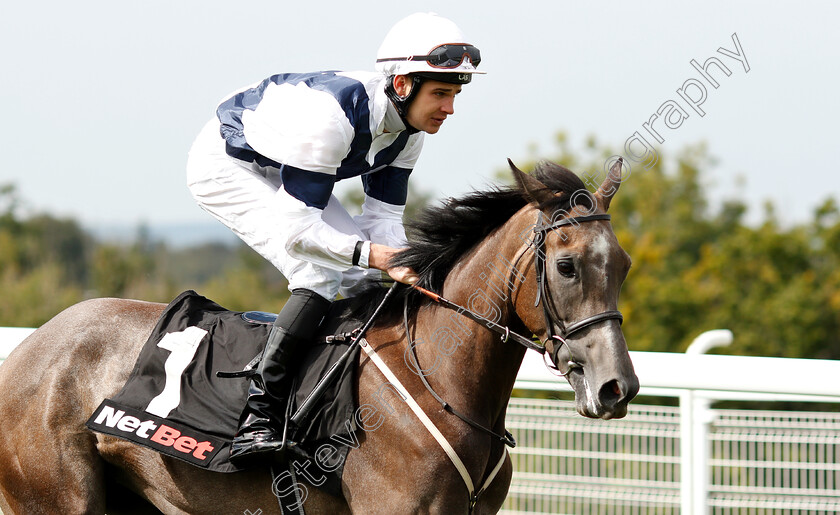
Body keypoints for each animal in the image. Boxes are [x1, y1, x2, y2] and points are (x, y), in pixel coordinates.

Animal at [0, 159, 636, 512]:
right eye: (567, 266)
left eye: (624, 264)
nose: (616, 388)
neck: (437, 378)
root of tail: (27, 349)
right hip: (55, 498)